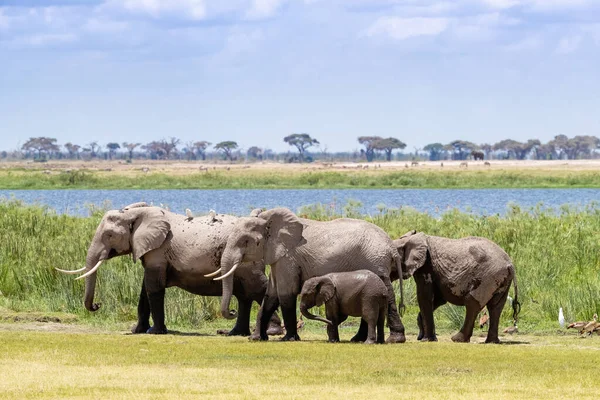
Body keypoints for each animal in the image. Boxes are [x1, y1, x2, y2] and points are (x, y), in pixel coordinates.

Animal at [56, 202, 282, 336]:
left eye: (109, 235)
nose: (97, 305)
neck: (137, 213)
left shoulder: (158, 250)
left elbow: (153, 288)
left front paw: (155, 332)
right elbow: (144, 291)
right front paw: (137, 330)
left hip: (247, 263)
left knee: (256, 288)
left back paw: (271, 331)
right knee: (244, 295)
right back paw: (236, 333)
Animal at [207, 208, 408, 342]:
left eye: (245, 241)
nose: (231, 312)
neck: (269, 221)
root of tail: (391, 247)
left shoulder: (287, 257)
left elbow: (285, 293)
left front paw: (288, 339)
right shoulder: (278, 257)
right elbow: (270, 296)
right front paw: (256, 339)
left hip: (375, 261)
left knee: (388, 295)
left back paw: (393, 340)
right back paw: (358, 339)